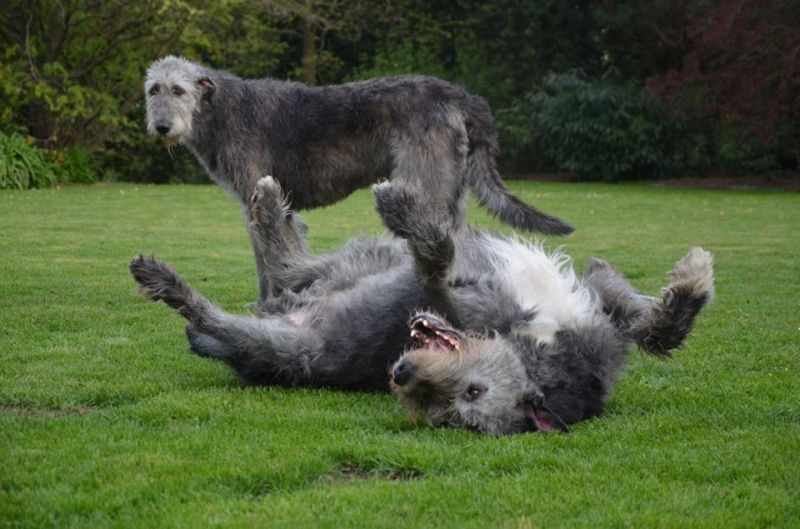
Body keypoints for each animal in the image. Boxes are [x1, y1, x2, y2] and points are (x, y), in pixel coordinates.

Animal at [130, 177, 712, 434]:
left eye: (458, 404)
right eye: (474, 389)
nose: (401, 372)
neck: (536, 345)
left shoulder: (448, 296)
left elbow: (436, 260)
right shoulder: (593, 305)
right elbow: (650, 323)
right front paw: (693, 281)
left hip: (284, 346)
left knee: (228, 304)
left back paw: (166, 281)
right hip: (367, 260)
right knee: (291, 264)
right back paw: (273, 206)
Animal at [145, 57, 576, 302]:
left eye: (179, 90)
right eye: (153, 90)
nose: (162, 127)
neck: (221, 110)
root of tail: (462, 97)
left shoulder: (261, 197)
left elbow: (268, 259)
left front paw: (269, 305)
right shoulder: (281, 208)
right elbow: (281, 252)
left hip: (424, 185)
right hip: (451, 189)